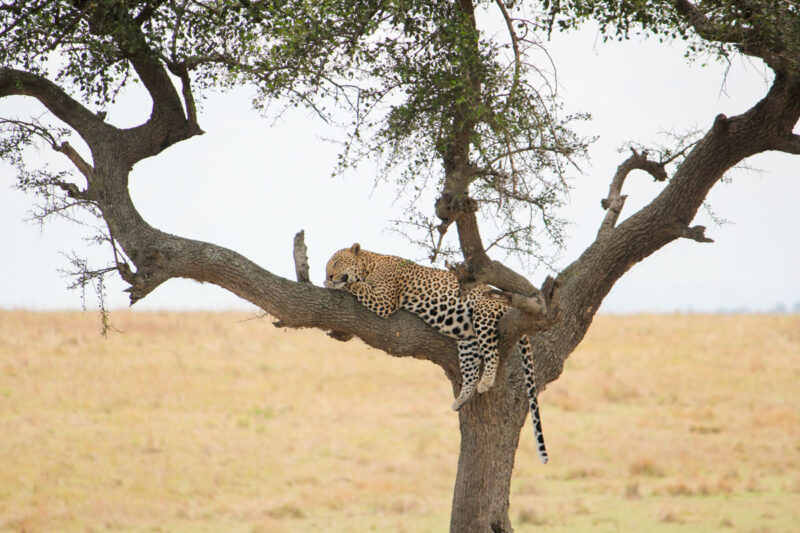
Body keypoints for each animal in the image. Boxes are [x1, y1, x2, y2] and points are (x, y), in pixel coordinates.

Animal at [322, 243, 548, 464]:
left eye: (336, 263)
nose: (329, 275)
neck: (369, 265)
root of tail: (509, 304)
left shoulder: (384, 300)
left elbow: (356, 286)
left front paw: (332, 284)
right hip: (467, 339)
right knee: (471, 372)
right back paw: (461, 400)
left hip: (483, 315)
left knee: (492, 353)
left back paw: (486, 382)